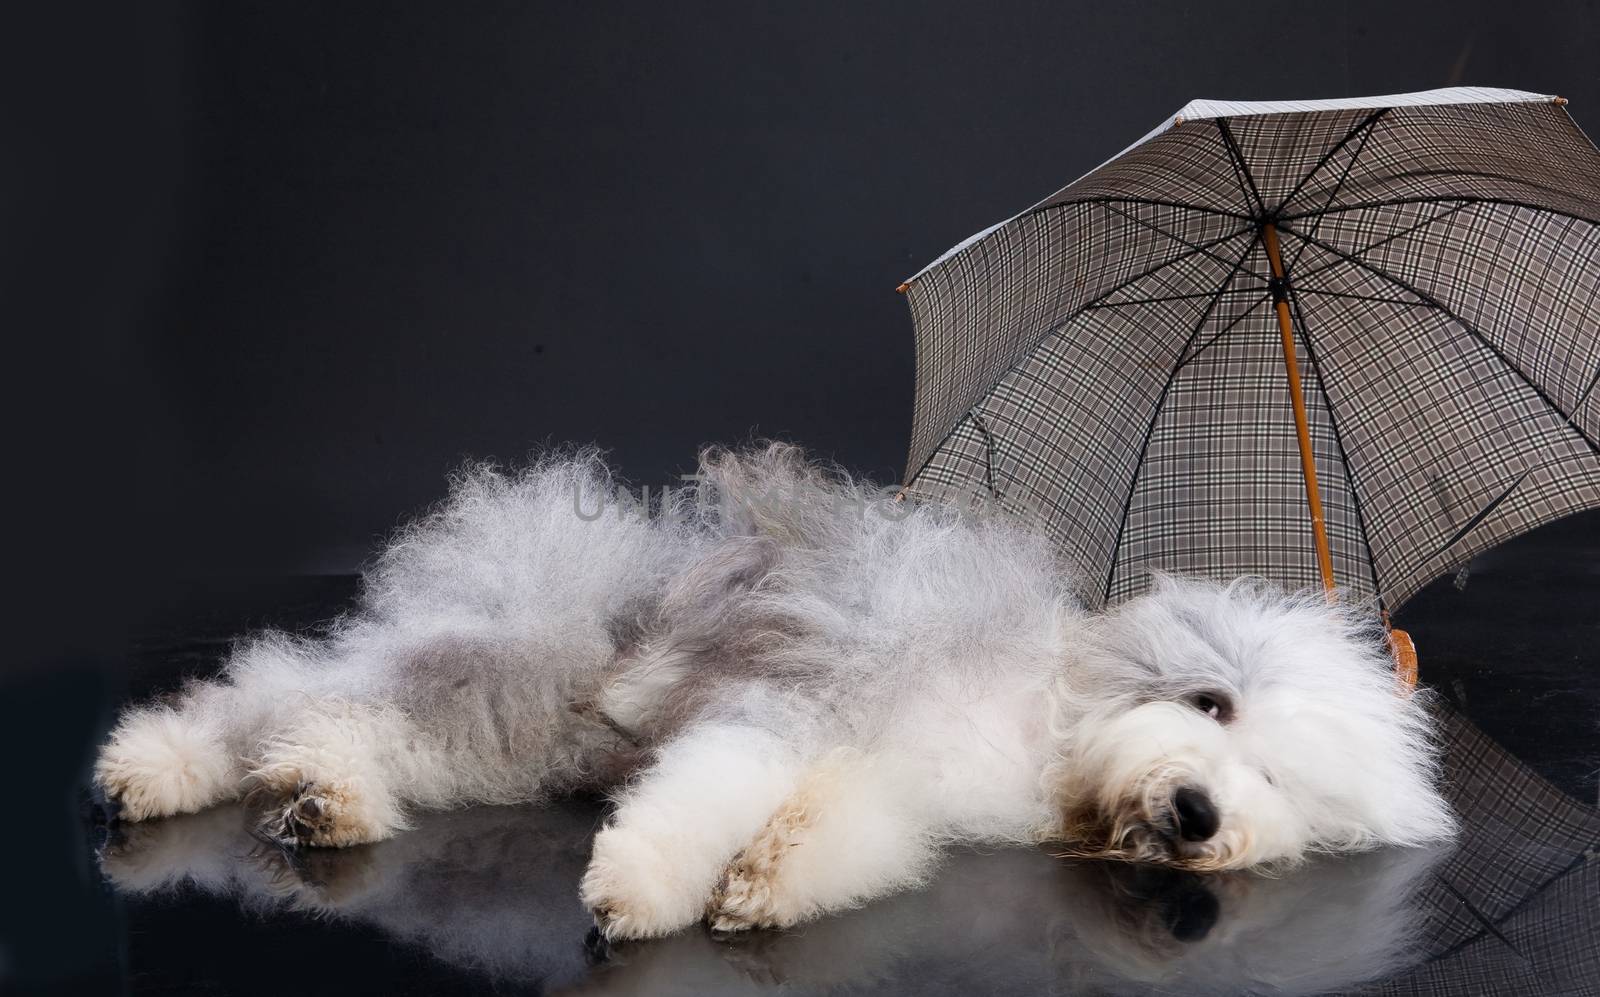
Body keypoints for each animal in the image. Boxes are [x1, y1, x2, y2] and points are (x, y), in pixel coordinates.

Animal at [93, 448, 1459, 940]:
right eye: (1212, 704)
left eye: (1276, 782)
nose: (1196, 815)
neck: (1039, 726)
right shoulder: (797, 704)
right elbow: (701, 795)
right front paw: (641, 892)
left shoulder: (888, 782)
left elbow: (842, 832)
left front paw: (760, 887)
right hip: (509, 661)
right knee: (277, 685)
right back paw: (154, 767)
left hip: (516, 731)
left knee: (350, 727)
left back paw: (323, 799)